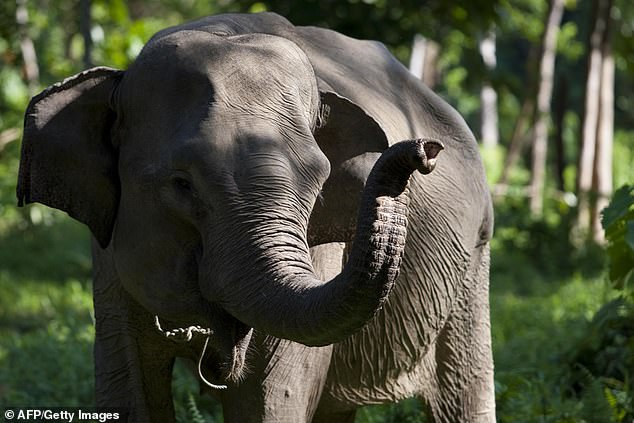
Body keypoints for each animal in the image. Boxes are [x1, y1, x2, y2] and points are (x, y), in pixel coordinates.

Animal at [16, 11, 494, 422]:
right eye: (182, 184)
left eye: (319, 181)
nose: (424, 151)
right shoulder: (108, 248)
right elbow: (127, 386)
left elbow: (272, 395)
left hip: (472, 261)